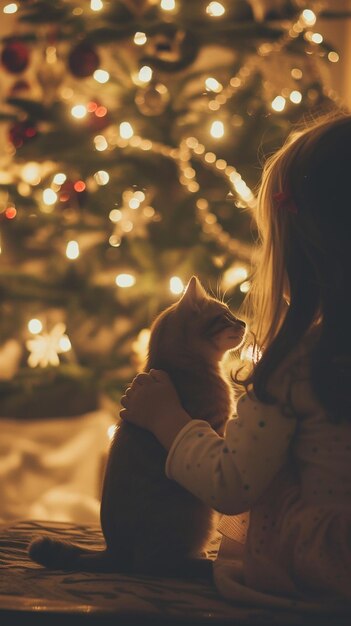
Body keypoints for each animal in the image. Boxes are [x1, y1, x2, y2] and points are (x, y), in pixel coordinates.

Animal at [28, 278, 246, 576]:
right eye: (225, 316)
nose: (244, 322)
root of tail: (116, 551)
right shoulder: (216, 428)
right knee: (157, 565)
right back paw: (199, 564)